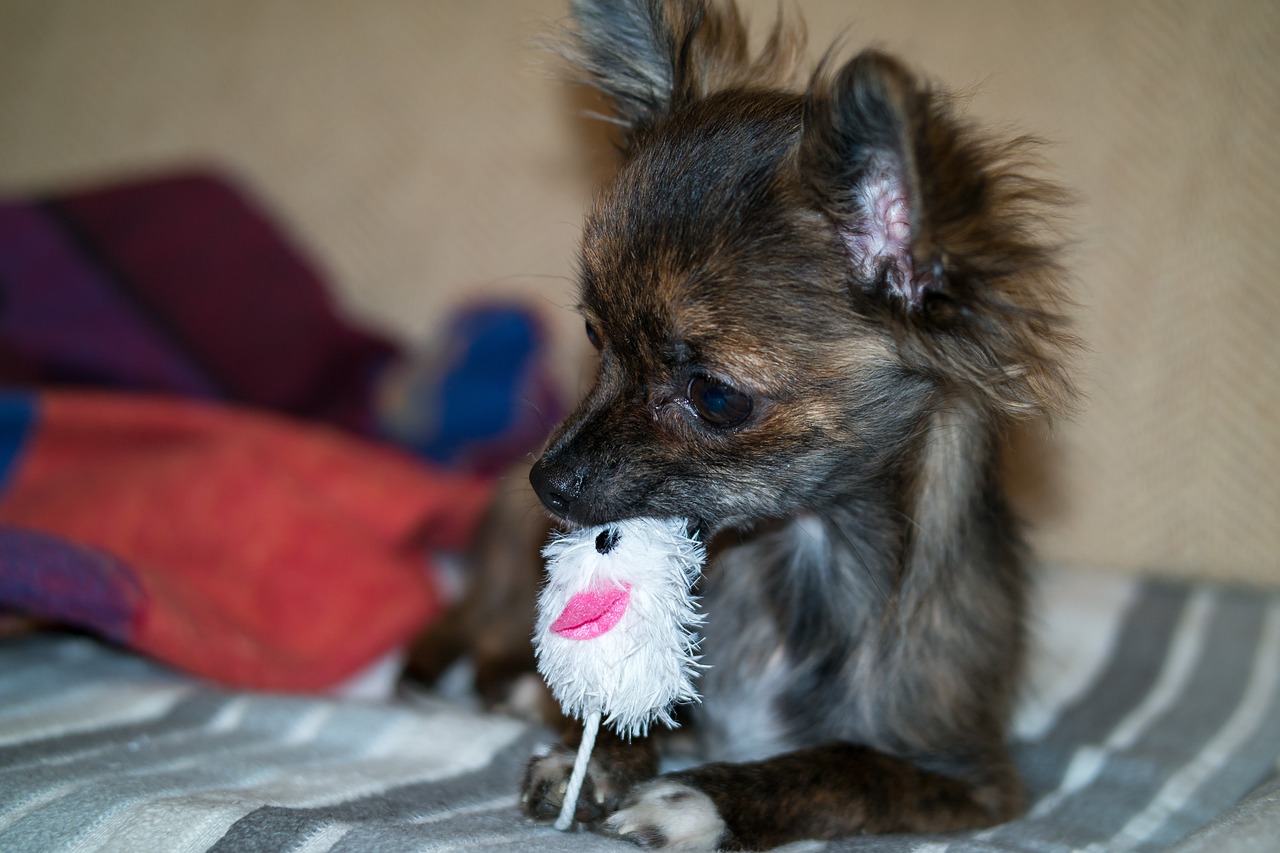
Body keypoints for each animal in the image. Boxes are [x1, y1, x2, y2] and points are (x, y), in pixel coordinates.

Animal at [417, 1, 1070, 845]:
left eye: (716, 397)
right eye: (594, 334)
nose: (545, 482)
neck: (794, 556)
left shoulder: (973, 783)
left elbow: (848, 767)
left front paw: (700, 798)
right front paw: (592, 756)